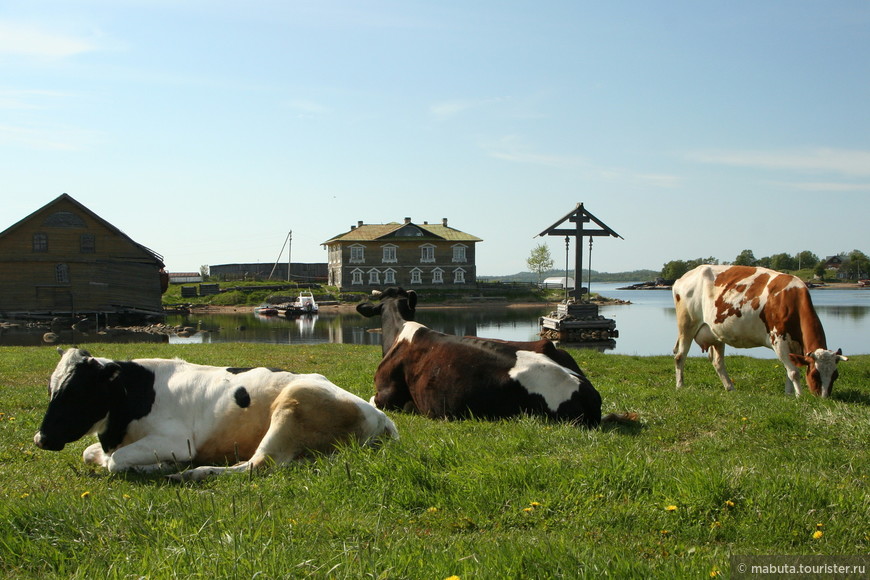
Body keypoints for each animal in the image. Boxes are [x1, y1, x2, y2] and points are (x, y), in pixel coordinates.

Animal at [34, 348, 400, 480]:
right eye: (51, 390)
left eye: (76, 393)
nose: (41, 439)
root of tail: (378, 416)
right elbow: (90, 453)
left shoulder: (177, 441)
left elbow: (115, 461)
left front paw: (163, 466)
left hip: (293, 403)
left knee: (256, 465)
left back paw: (193, 473)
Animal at [676, 266, 852, 396]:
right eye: (815, 374)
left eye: (835, 375)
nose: (823, 397)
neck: (791, 300)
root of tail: (683, 277)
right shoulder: (778, 340)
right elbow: (794, 372)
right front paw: (800, 396)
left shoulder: (793, 347)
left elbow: (789, 371)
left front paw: (789, 395)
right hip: (687, 325)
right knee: (679, 356)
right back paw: (680, 386)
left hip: (716, 333)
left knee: (718, 362)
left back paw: (730, 388)